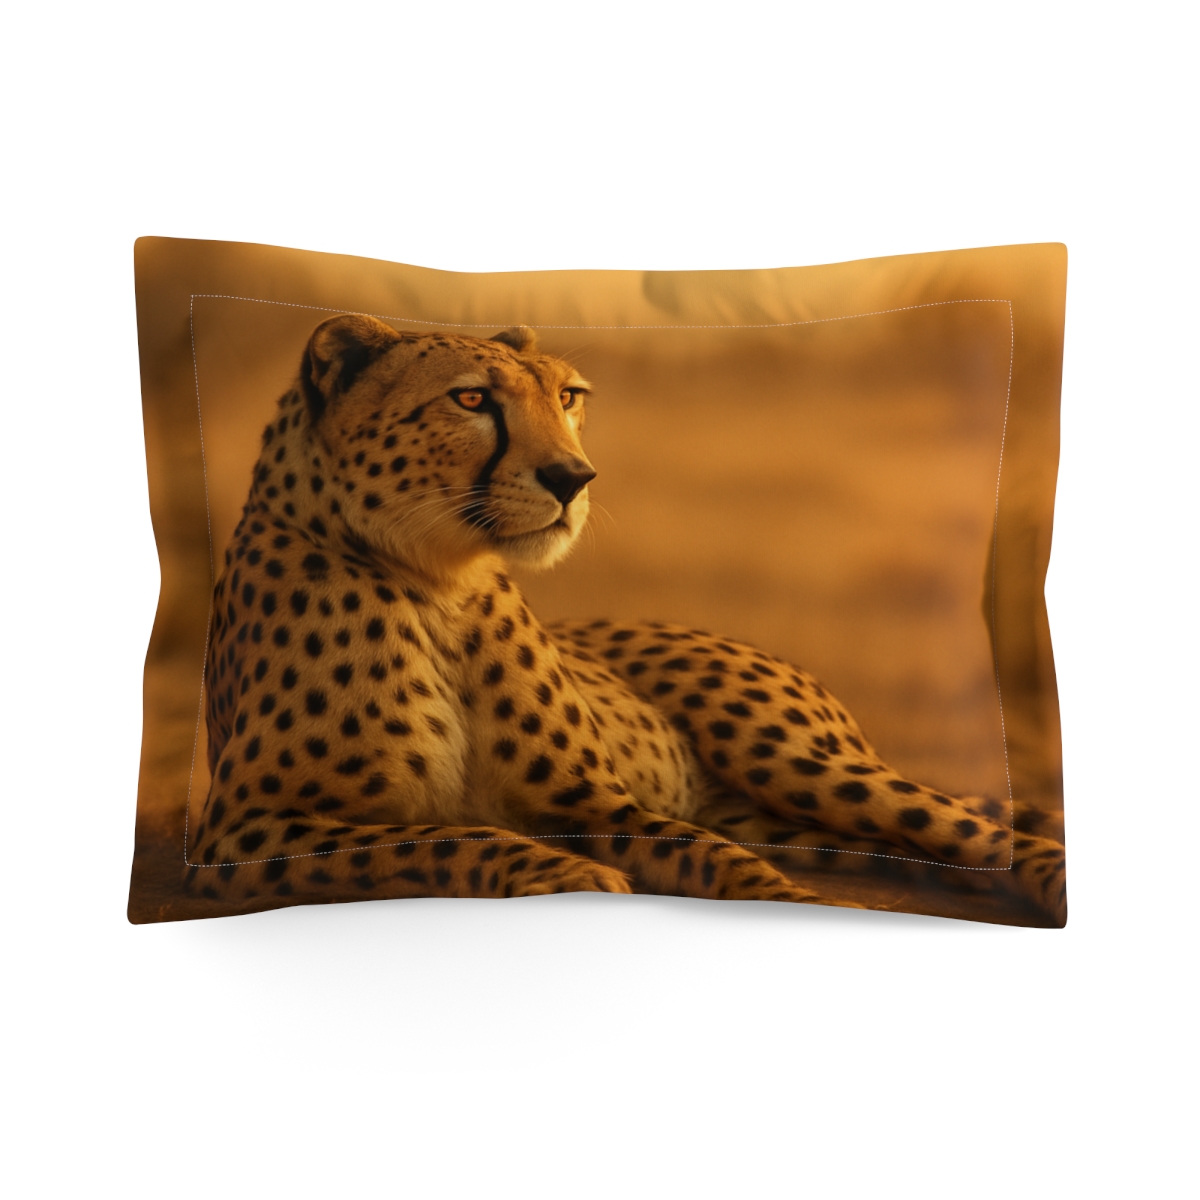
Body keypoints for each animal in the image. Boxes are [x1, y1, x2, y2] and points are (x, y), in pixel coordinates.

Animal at [187, 313, 1067, 923]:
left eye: (567, 397)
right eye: (471, 399)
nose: (573, 477)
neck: (439, 583)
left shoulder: (596, 799)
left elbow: (703, 851)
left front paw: (793, 902)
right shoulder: (242, 828)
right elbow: (449, 834)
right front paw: (563, 874)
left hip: (796, 761)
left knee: (969, 827)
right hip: (789, 811)